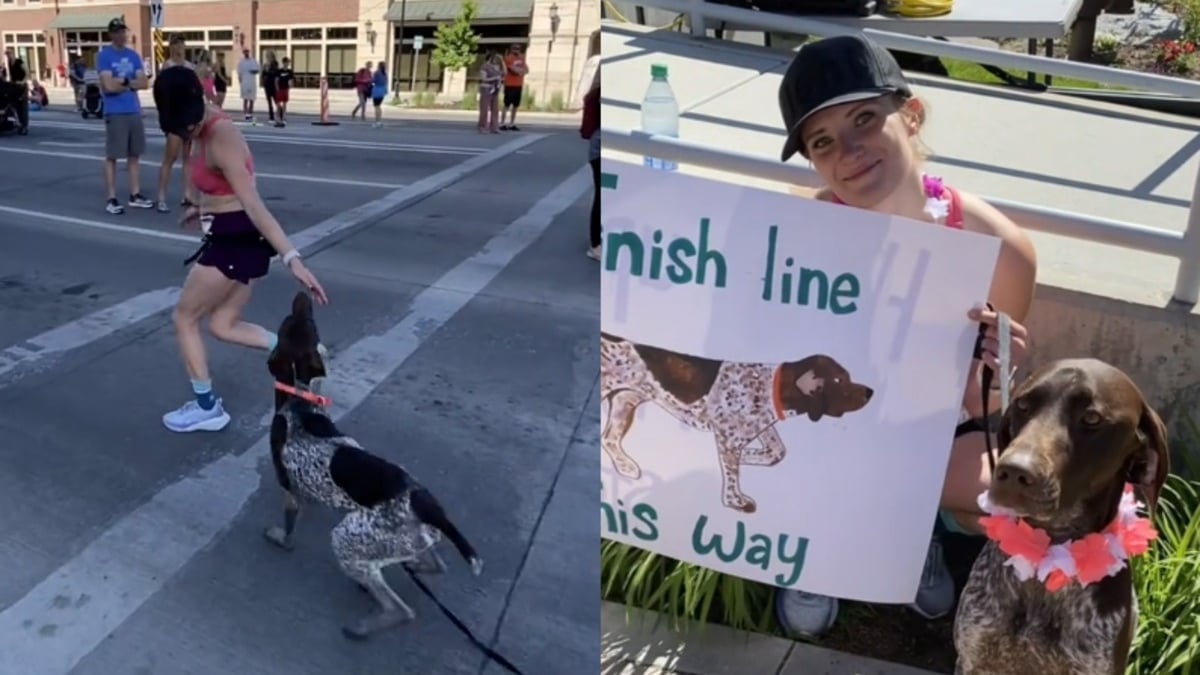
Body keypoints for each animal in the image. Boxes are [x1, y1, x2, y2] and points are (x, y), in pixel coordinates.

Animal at [266, 289, 482, 634]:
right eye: (307, 323)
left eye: (297, 321)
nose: (303, 293)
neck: (299, 399)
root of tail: (426, 504)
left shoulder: (287, 486)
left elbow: (287, 528)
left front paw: (279, 538)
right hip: (409, 540)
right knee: (435, 564)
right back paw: (412, 566)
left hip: (345, 540)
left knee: (399, 609)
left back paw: (366, 625)